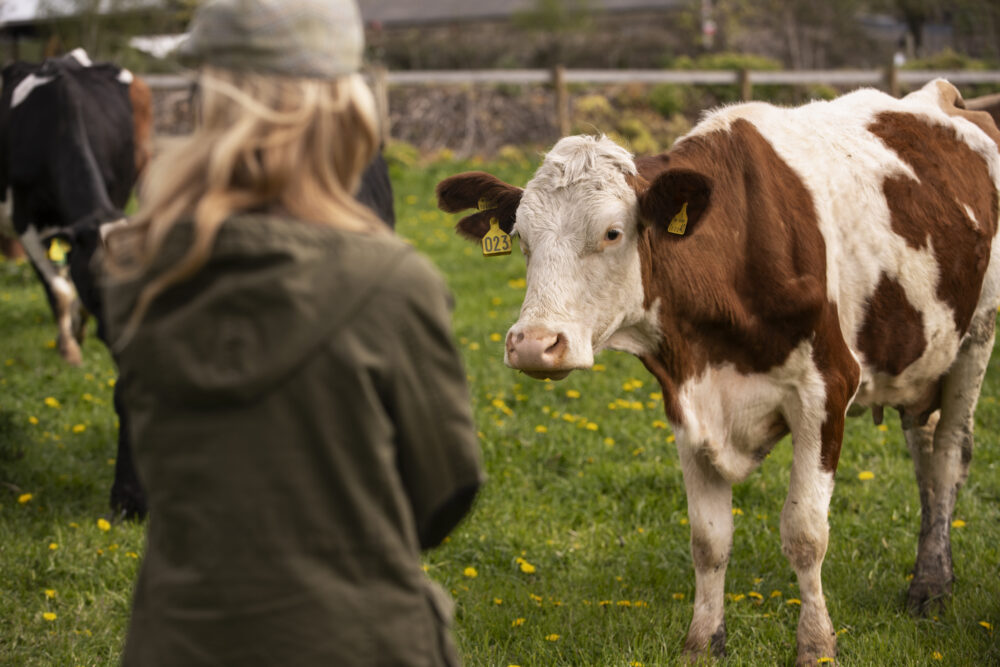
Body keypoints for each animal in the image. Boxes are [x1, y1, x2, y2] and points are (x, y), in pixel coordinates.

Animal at [438, 79, 1000, 664]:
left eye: (613, 233)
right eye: (521, 239)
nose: (533, 345)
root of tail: (944, 95)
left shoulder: (826, 388)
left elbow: (806, 532)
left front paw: (816, 644)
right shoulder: (687, 397)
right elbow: (708, 539)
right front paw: (703, 640)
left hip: (976, 336)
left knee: (948, 456)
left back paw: (930, 588)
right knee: (925, 452)